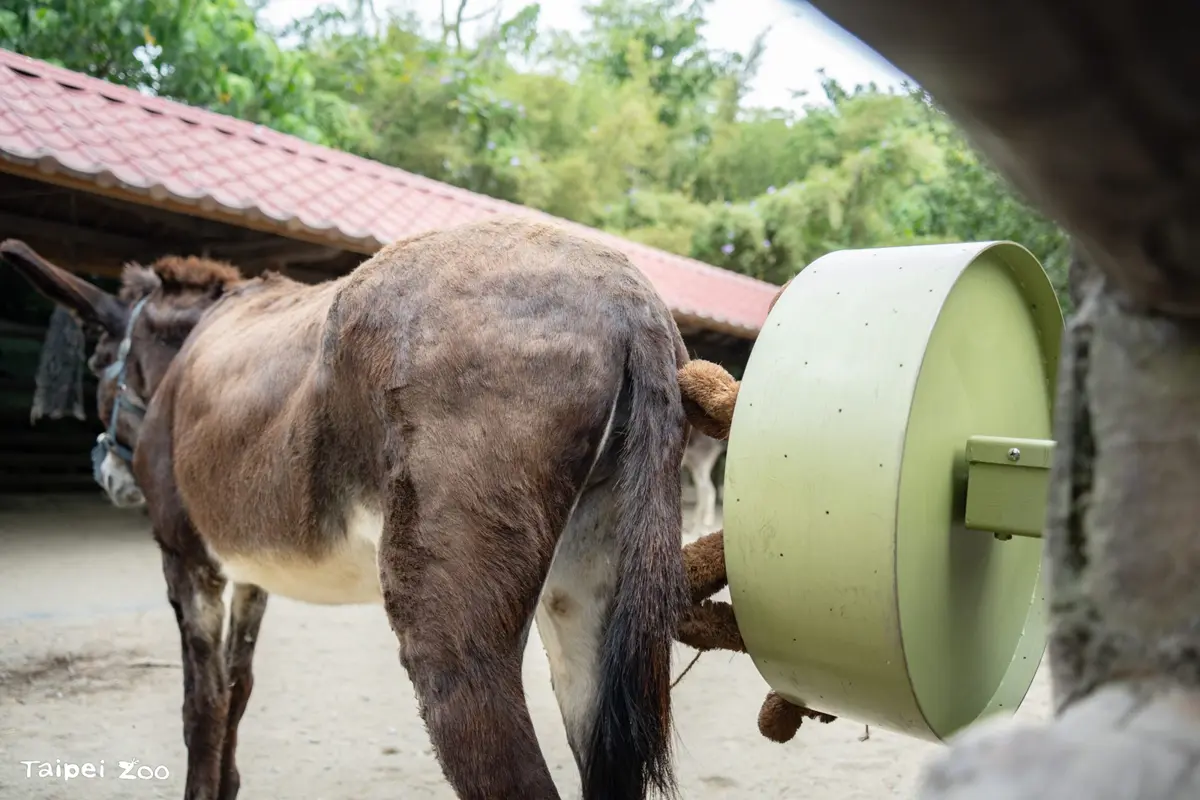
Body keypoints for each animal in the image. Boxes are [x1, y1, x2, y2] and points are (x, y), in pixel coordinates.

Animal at [1, 217, 691, 800]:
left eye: (98, 360)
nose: (107, 471)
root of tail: (631, 302)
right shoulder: (253, 577)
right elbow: (238, 687)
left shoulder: (187, 562)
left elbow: (202, 705)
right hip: (586, 607)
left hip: (450, 638)